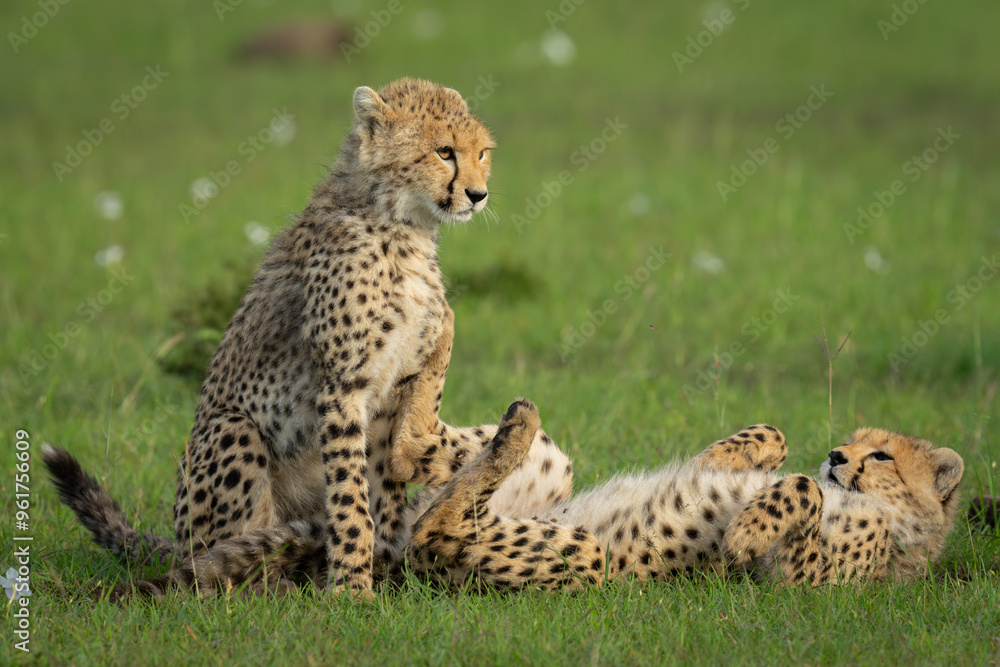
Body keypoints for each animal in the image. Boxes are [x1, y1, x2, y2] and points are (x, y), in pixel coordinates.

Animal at [42, 77, 564, 597]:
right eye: (444, 152)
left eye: (482, 153)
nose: (478, 194)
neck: (403, 227)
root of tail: (178, 540)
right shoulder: (342, 387)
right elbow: (351, 497)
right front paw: (352, 590)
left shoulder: (392, 388)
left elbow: (384, 481)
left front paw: (389, 559)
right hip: (231, 433)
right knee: (226, 548)